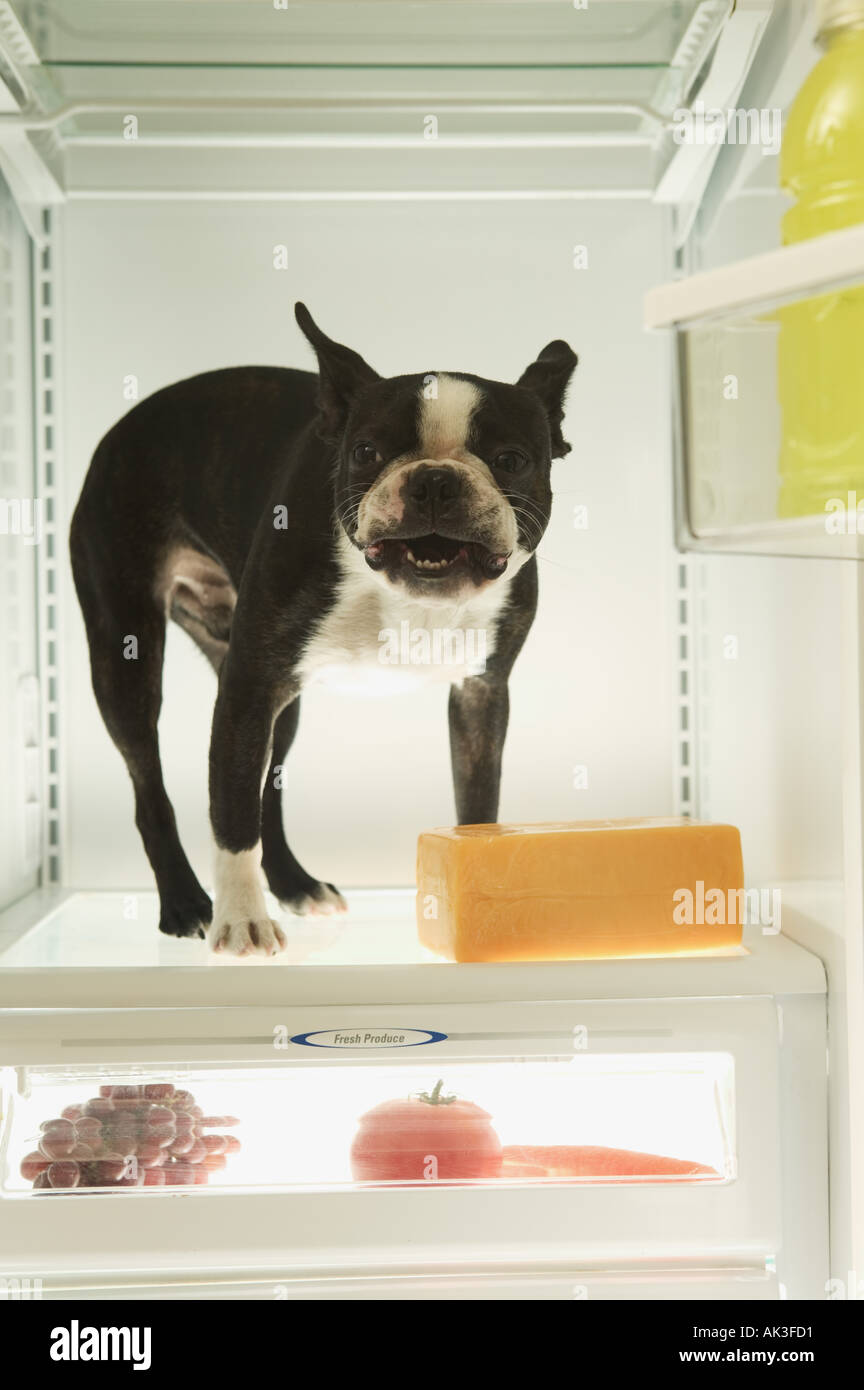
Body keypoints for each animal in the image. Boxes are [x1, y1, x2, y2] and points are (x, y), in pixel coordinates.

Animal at [69, 304, 583, 956]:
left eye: (511, 460)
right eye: (365, 451)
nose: (435, 480)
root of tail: (118, 434)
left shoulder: (481, 694)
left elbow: (477, 798)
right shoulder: (247, 688)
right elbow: (230, 813)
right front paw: (241, 921)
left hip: (279, 705)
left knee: (267, 788)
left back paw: (294, 884)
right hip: (128, 658)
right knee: (152, 784)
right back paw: (185, 902)